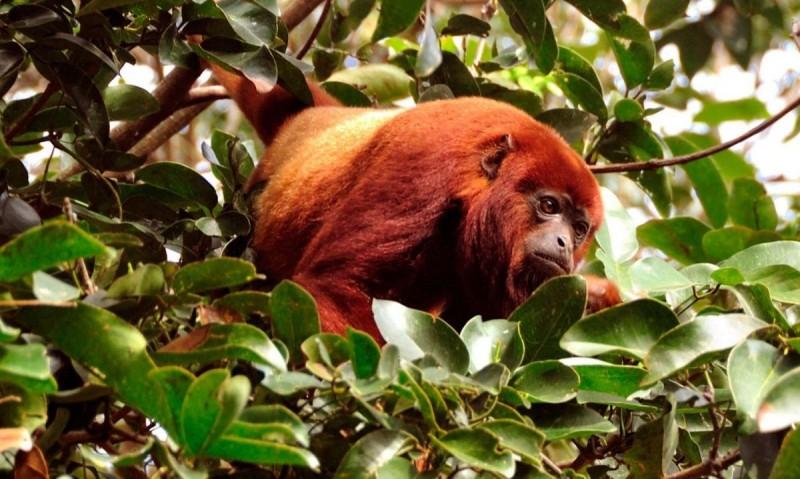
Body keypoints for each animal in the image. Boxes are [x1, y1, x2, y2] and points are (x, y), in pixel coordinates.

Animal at [211, 67, 620, 339]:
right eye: (549, 206)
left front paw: (599, 297)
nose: (564, 243)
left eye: (579, 228)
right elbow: (335, 288)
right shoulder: (422, 160)